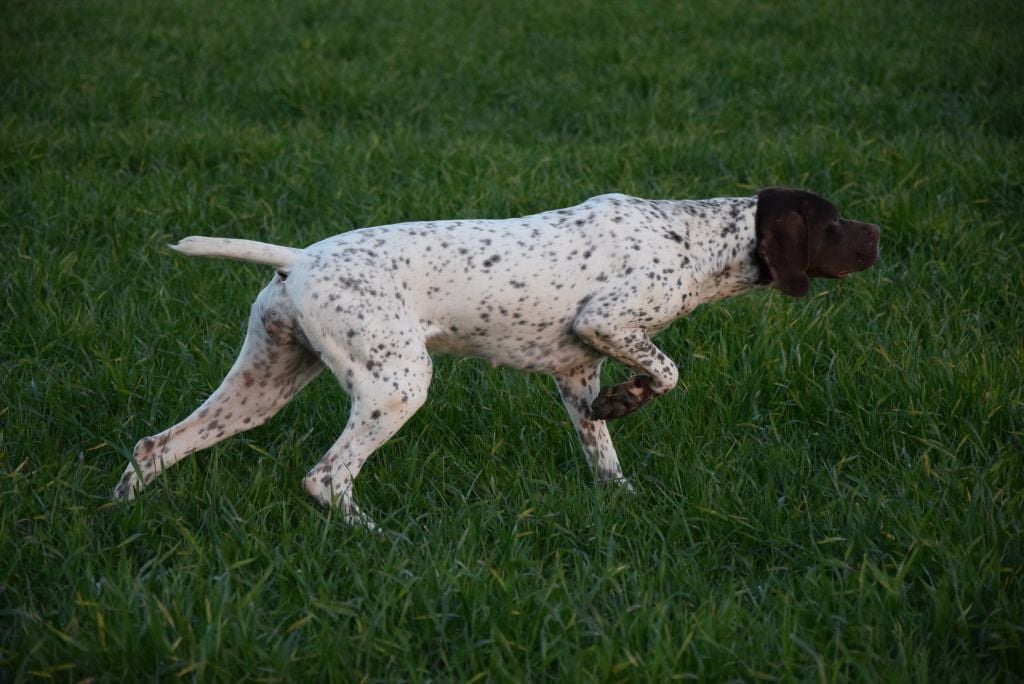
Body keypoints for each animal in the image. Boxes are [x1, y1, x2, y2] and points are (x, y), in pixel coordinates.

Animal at [114, 187, 879, 528]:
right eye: (834, 223)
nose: (878, 237)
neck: (692, 237)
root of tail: (299, 258)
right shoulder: (607, 319)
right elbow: (667, 370)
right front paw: (632, 398)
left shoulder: (577, 371)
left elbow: (606, 457)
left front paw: (625, 491)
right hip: (397, 386)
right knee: (326, 478)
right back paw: (377, 538)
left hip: (263, 384)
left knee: (156, 445)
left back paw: (118, 516)